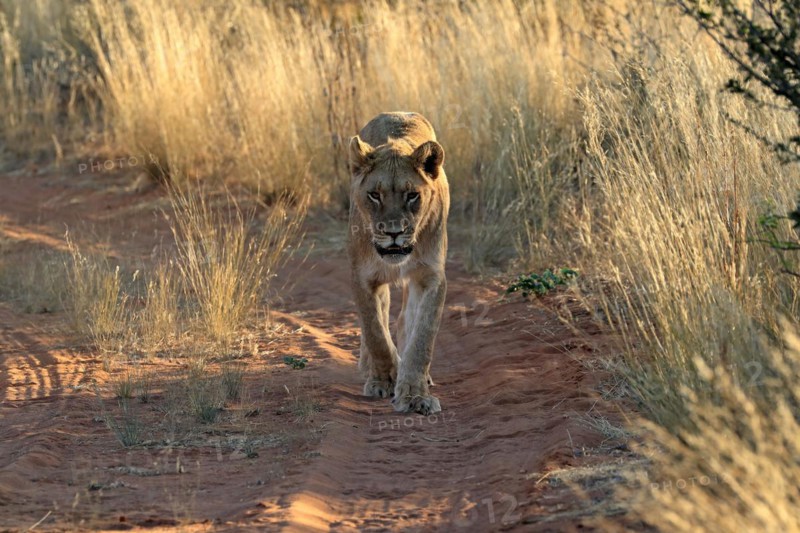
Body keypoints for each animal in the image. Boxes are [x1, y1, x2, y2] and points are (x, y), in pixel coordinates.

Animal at [347, 111, 449, 415]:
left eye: (412, 195)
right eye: (374, 195)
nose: (394, 232)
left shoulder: (431, 278)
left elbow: (422, 338)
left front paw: (415, 394)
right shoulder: (362, 277)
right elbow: (375, 333)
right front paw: (385, 380)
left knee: (405, 319)